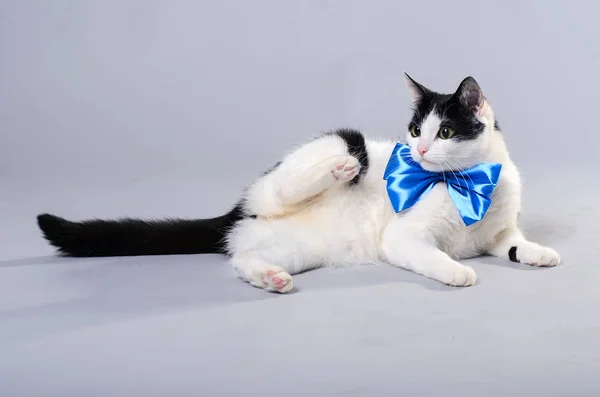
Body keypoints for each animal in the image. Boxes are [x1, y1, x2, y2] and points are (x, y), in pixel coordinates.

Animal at [38, 73, 564, 290]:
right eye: (417, 131)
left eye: (447, 132)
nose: (417, 151)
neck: (470, 182)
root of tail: (237, 212)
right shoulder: (405, 237)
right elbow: (432, 256)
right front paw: (456, 271)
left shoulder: (497, 233)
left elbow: (514, 244)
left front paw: (540, 254)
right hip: (334, 144)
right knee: (280, 189)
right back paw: (338, 171)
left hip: (293, 247)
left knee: (241, 258)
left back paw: (270, 279)